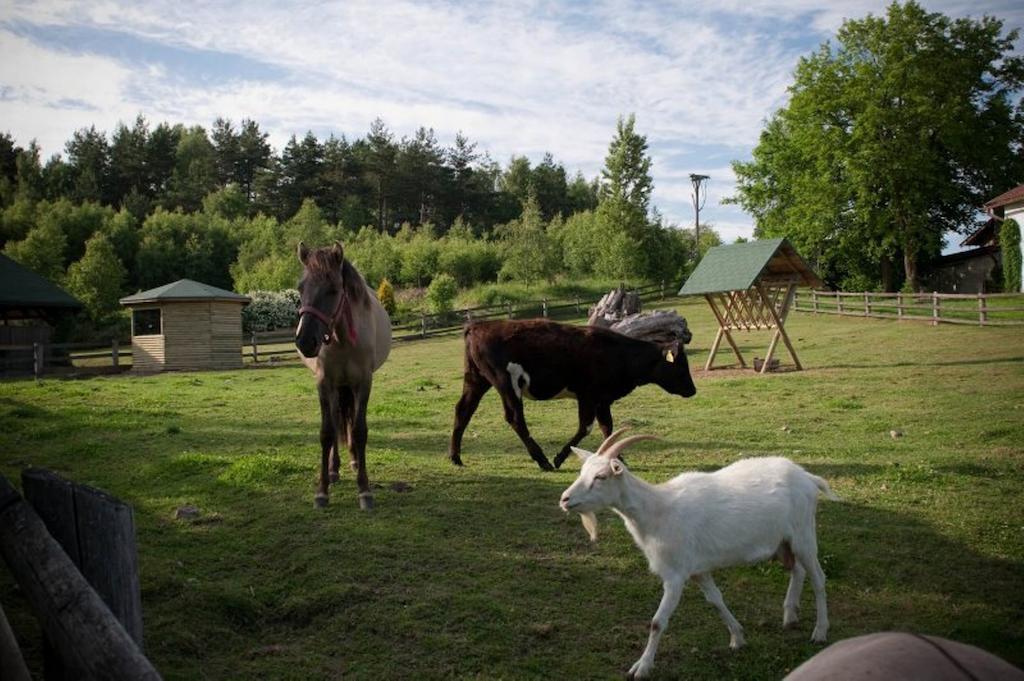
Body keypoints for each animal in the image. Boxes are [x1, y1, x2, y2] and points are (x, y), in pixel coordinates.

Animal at [299, 241, 393, 507]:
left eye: (333, 290)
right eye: (300, 289)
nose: (305, 341)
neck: (341, 339)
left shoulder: (363, 383)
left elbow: (360, 431)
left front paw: (364, 490)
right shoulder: (324, 383)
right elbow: (327, 432)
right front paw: (322, 491)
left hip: (348, 386)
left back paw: (353, 461)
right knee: (335, 420)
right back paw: (334, 469)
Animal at [561, 428, 839, 675]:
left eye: (601, 476)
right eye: (582, 471)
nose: (564, 499)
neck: (658, 510)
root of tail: (808, 478)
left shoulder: (675, 574)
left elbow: (657, 622)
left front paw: (642, 667)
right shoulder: (698, 570)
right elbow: (716, 600)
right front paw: (738, 637)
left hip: (804, 534)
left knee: (818, 577)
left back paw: (820, 632)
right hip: (784, 543)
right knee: (798, 570)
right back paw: (790, 615)